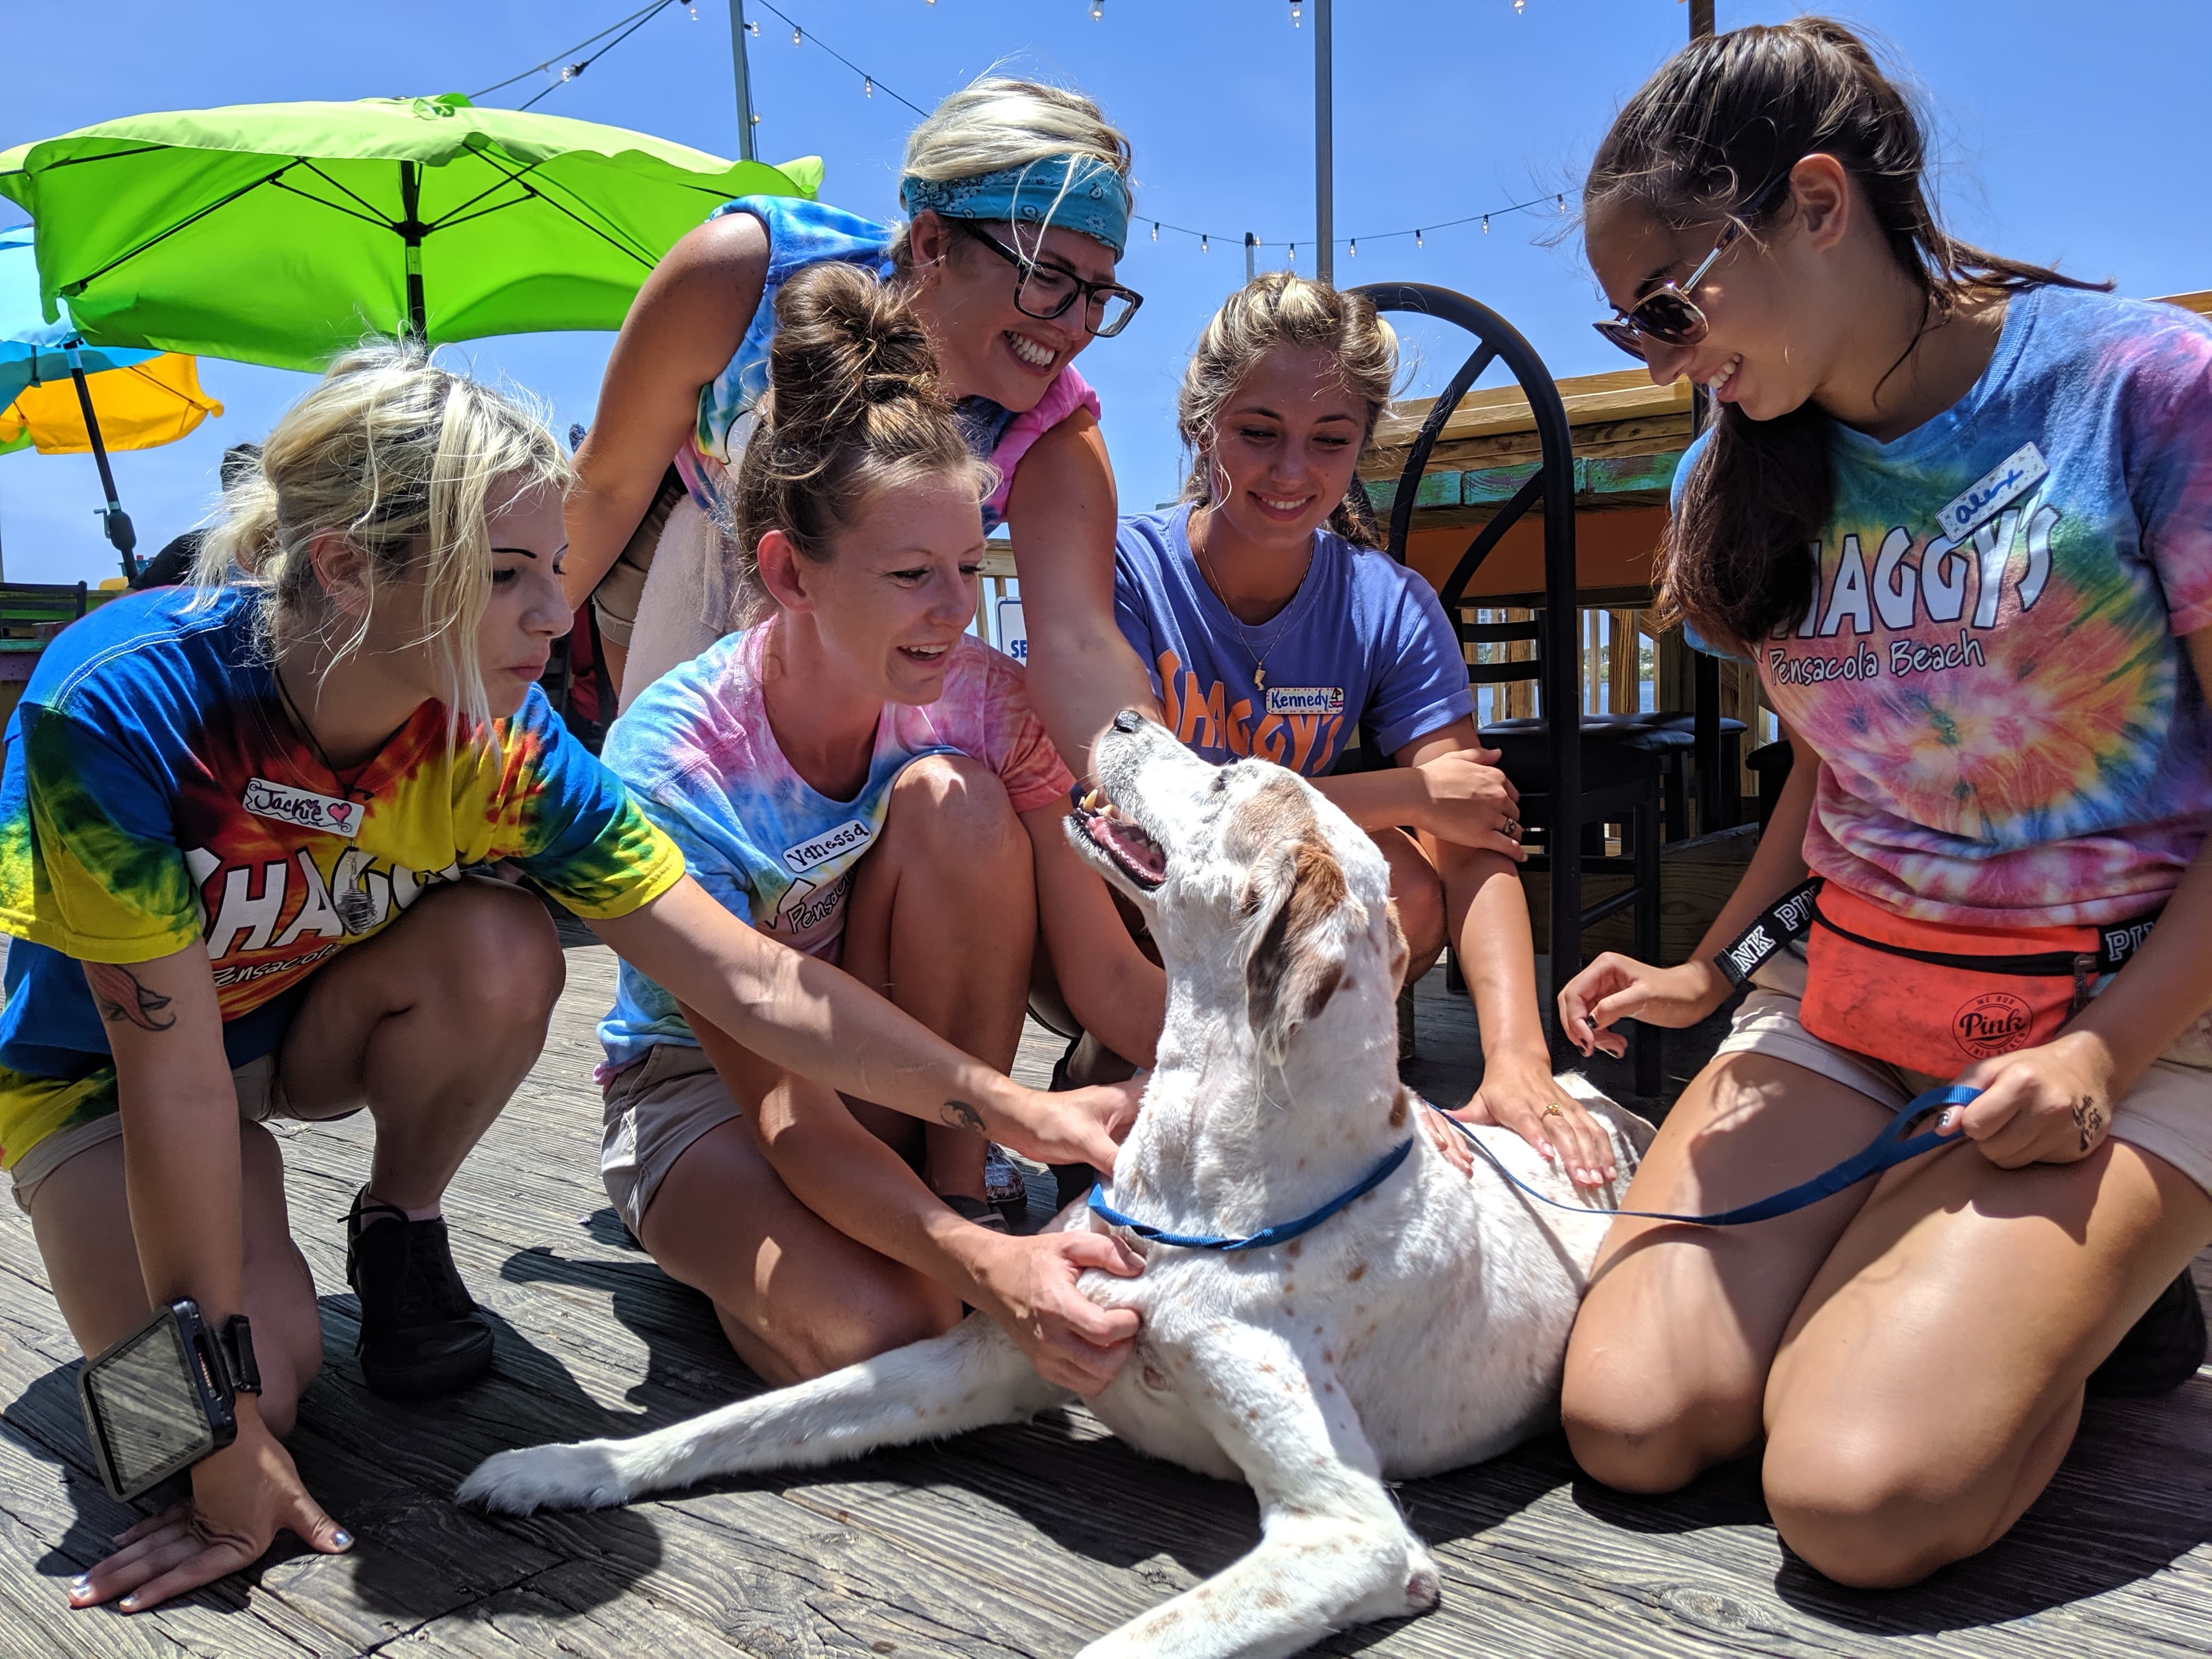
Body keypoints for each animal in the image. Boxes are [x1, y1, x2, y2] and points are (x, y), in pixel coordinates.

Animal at [462, 716, 1645, 1659]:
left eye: (1227, 777)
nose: (1122, 716)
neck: (1201, 1188)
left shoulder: (1347, 1531)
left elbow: (1127, 1645)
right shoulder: (988, 1352)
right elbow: (741, 1420)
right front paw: (561, 1464)